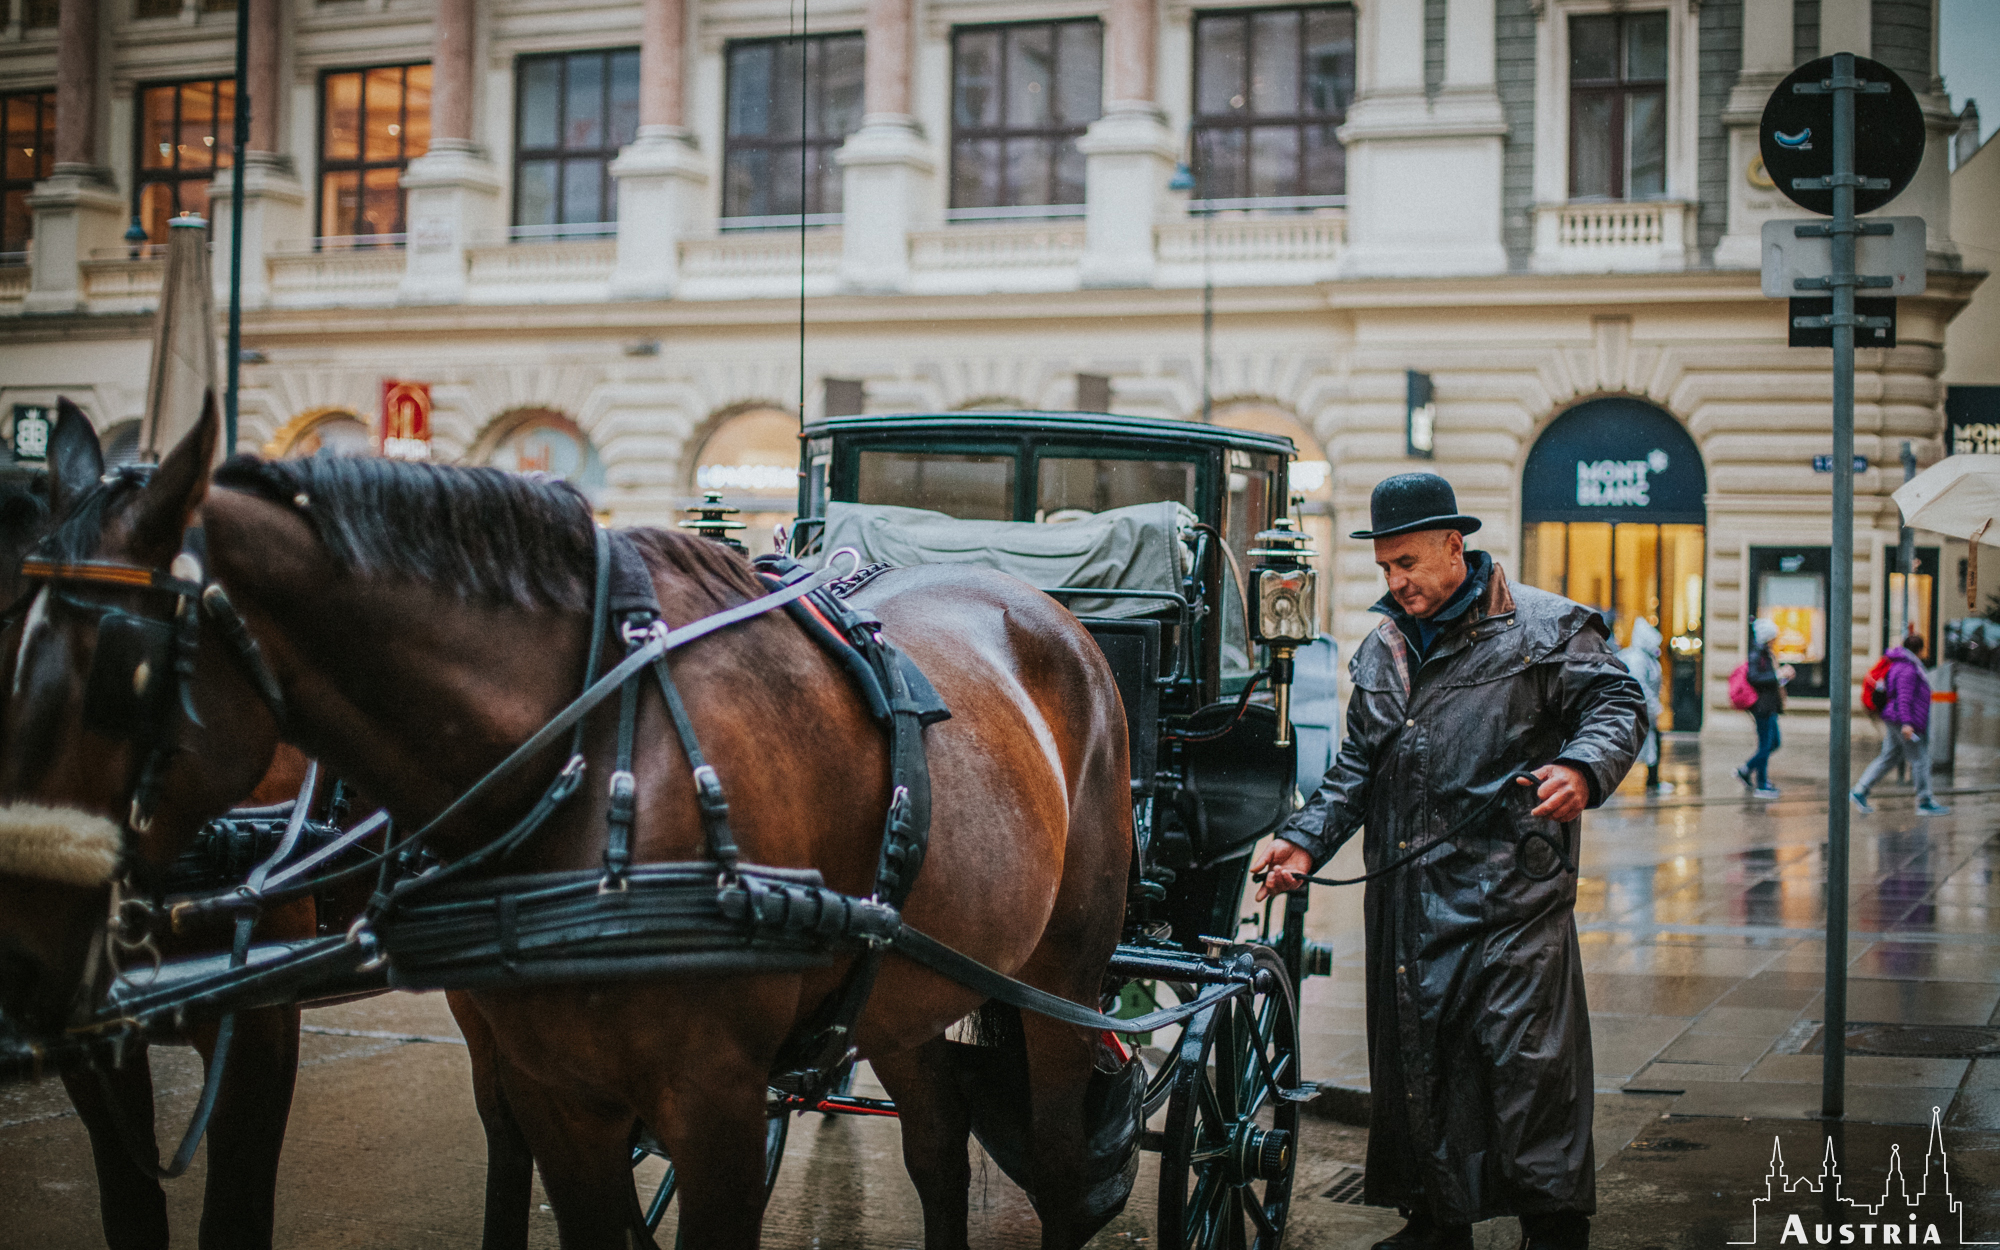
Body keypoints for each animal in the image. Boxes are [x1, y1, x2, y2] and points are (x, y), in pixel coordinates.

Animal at [0, 404, 1136, 1240]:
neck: (603, 762)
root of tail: (1034, 600)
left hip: (1062, 978)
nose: (22, 974)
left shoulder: (717, 1109)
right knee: (936, 1139)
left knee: (1057, 1162)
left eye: (124, 670)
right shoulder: (563, 1100)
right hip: (904, 981)